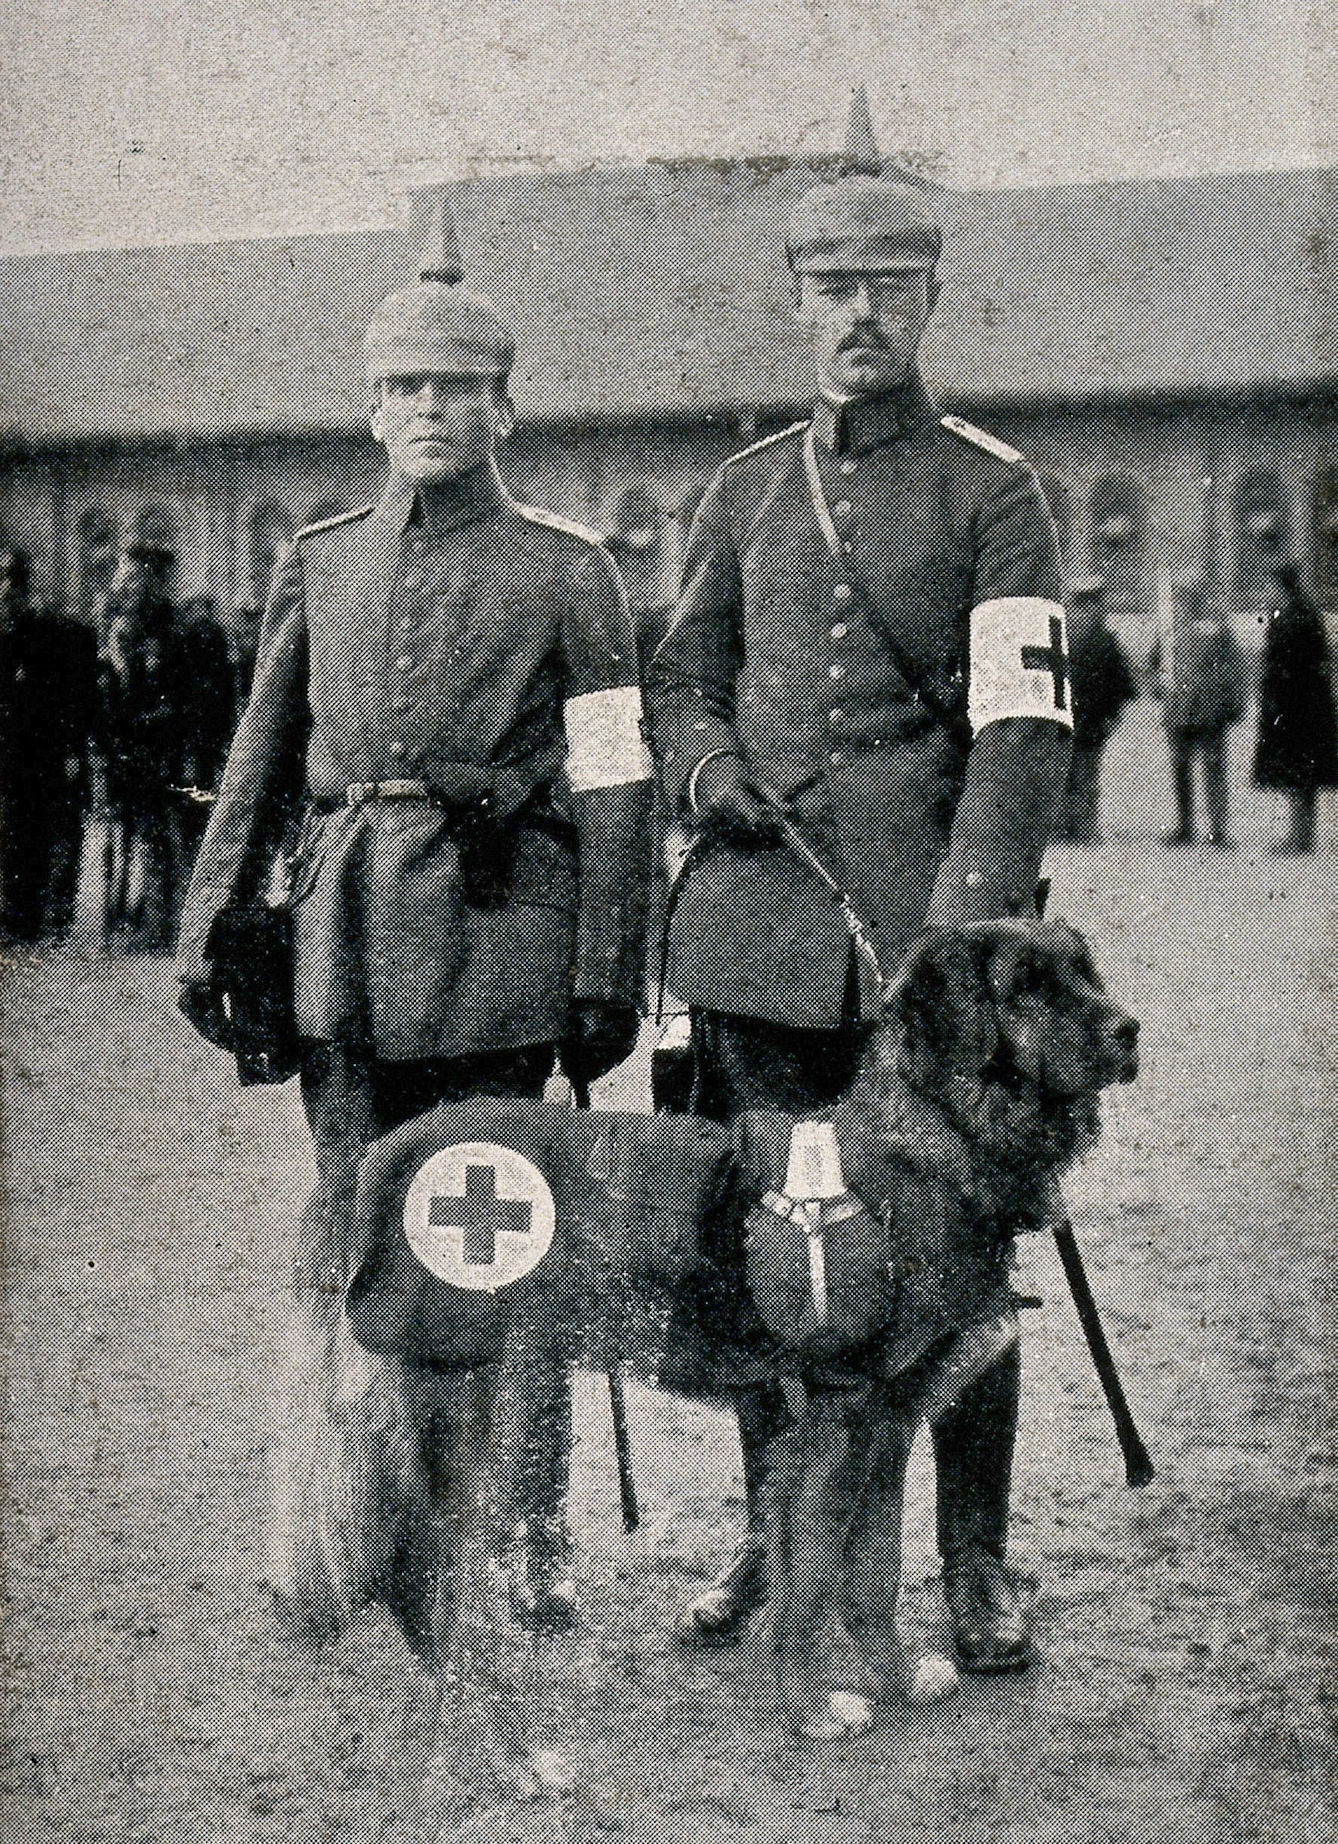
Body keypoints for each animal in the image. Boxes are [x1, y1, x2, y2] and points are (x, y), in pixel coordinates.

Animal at [265, 918, 1142, 1770]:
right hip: (466, 1416)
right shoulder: (838, 1420)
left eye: (1083, 973)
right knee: (436, 1584)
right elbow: (814, 1582)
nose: (1129, 1031)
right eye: (1026, 988)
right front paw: (809, 1706)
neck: (931, 1142)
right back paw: (513, 1751)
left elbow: (873, 1575)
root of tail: (375, 1161)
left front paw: (893, 1678)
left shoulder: (886, 1426)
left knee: (416, 1582)